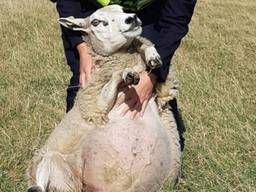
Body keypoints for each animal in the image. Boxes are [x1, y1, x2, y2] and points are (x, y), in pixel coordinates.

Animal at [27, 4, 181, 192]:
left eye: (122, 8)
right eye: (96, 22)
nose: (132, 18)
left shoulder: (161, 91)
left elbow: (144, 43)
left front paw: (153, 57)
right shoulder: (96, 105)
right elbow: (112, 82)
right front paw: (127, 74)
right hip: (50, 162)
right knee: (39, 184)